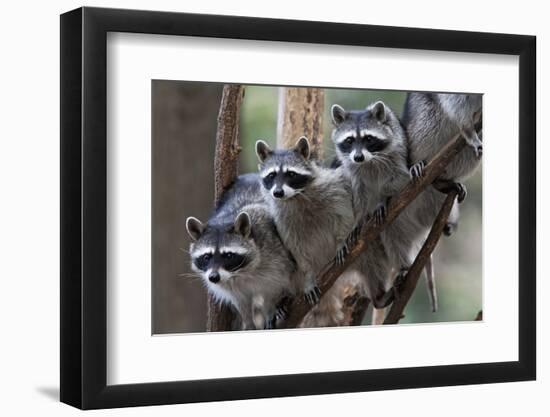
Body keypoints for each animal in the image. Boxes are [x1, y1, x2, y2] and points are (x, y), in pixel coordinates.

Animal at [187, 172, 298, 328]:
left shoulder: (275, 255)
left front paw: (271, 308)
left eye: (228, 255)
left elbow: (273, 288)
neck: (239, 273)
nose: (214, 277)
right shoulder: (230, 285)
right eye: (206, 256)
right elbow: (241, 302)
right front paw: (248, 322)